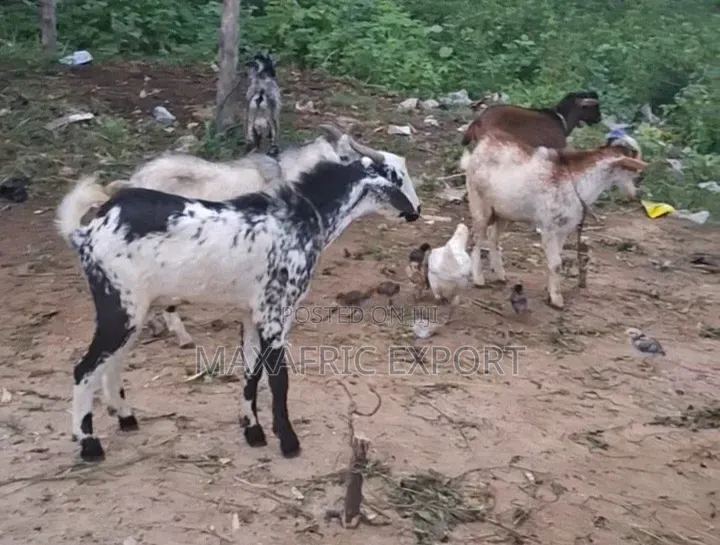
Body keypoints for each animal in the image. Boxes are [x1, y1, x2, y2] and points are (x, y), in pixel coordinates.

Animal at [461, 131, 646, 309]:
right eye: (633, 172)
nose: (635, 194)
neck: (578, 183)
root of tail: (482, 144)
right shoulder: (549, 228)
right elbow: (556, 262)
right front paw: (557, 300)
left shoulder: (563, 229)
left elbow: (557, 260)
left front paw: (551, 293)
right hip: (480, 206)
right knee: (477, 239)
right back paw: (478, 279)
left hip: (503, 213)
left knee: (493, 238)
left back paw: (500, 275)